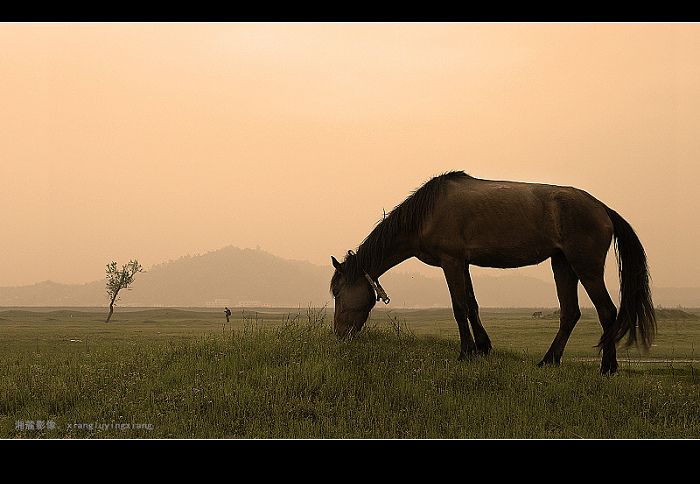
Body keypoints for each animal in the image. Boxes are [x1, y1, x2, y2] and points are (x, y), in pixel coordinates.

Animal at [330, 170, 656, 374]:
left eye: (337, 292)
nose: (339, 335)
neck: (426, 214)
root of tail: (603, 209)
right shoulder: (462, 263)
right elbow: (472, 306)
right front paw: (482, 348)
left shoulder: (451, 262)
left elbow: (459, 308)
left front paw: (465, 352)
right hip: (562, 264)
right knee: (570, 313)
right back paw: (549, 361)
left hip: (585, 267)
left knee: (607, 312)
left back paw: (607, 367)